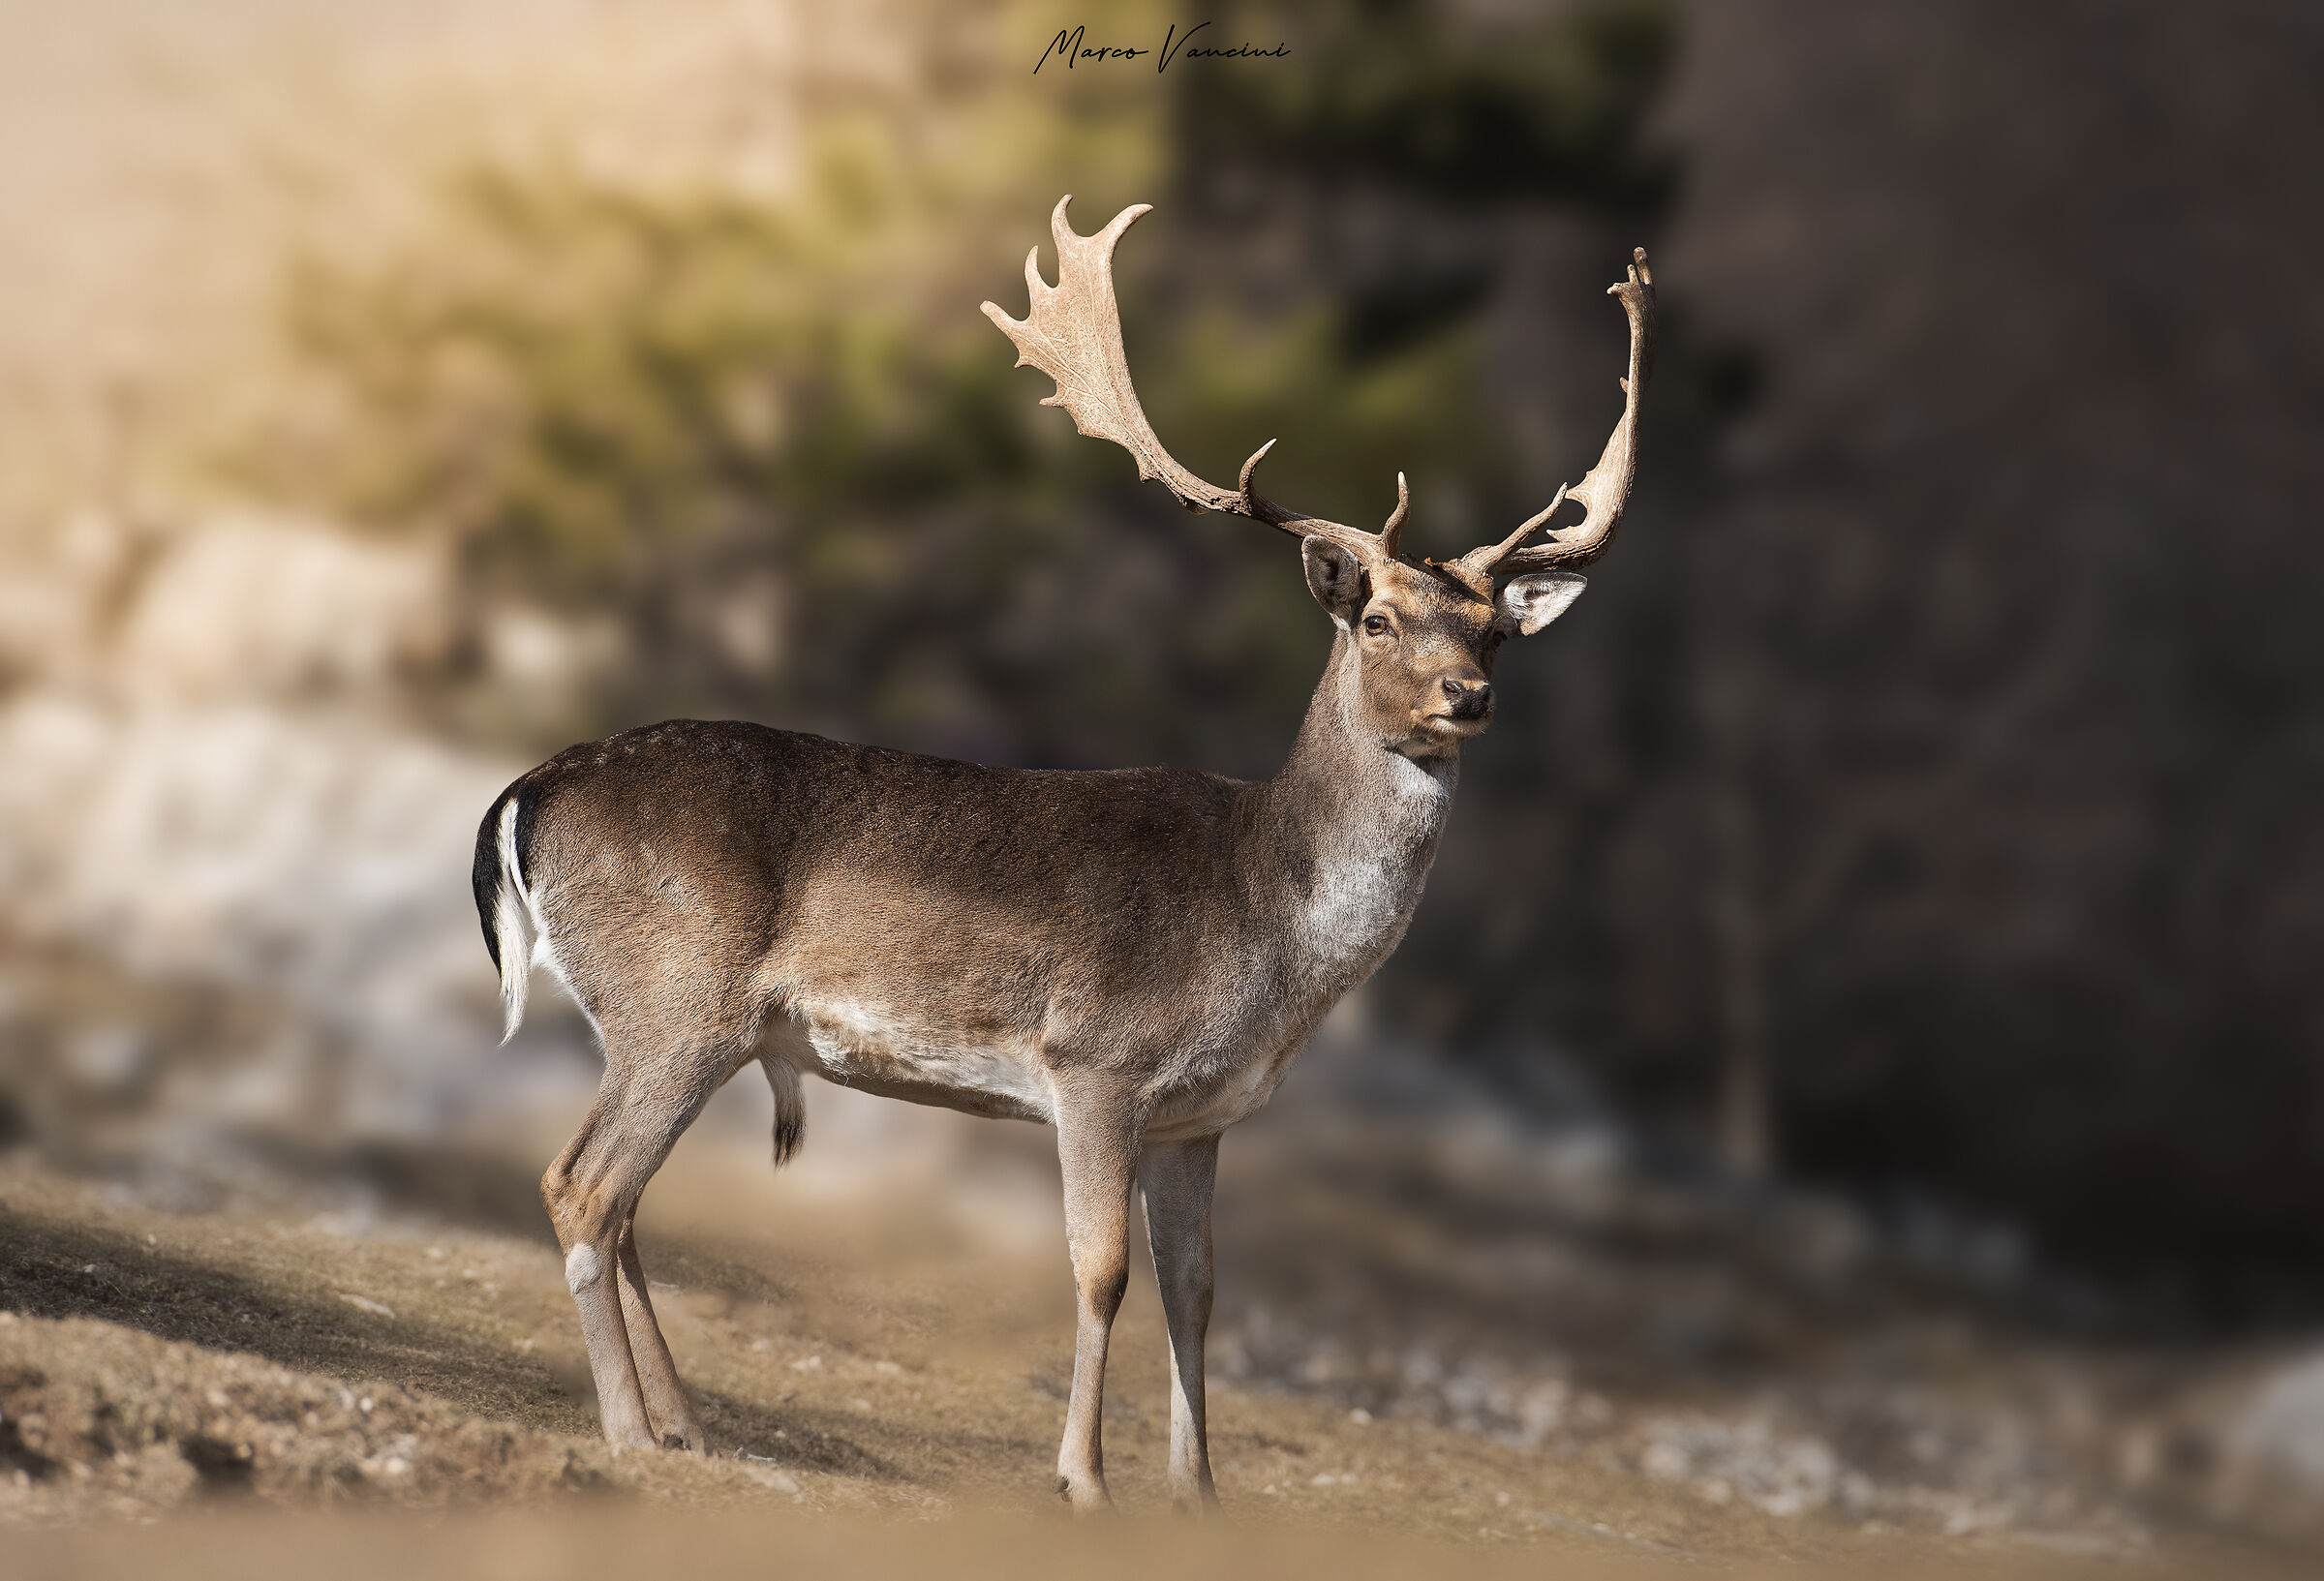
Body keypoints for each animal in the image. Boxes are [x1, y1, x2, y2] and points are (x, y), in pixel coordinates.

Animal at [472, 196, 1653, 1513]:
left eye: (1496, 631)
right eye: (1380, 619)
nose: (1469, 697)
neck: (1265, 927)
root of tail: (526, 792)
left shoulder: (1200, 1118)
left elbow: (1198, 1291)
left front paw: (1199, 1491)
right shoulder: (1095, 1062)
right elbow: (1101, 1272)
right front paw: (1083, 1480)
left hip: (652, 1018)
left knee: (620, 1198)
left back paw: (682, 1418)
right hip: (682, 1000)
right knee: (583, 1184)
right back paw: (631, 1429)